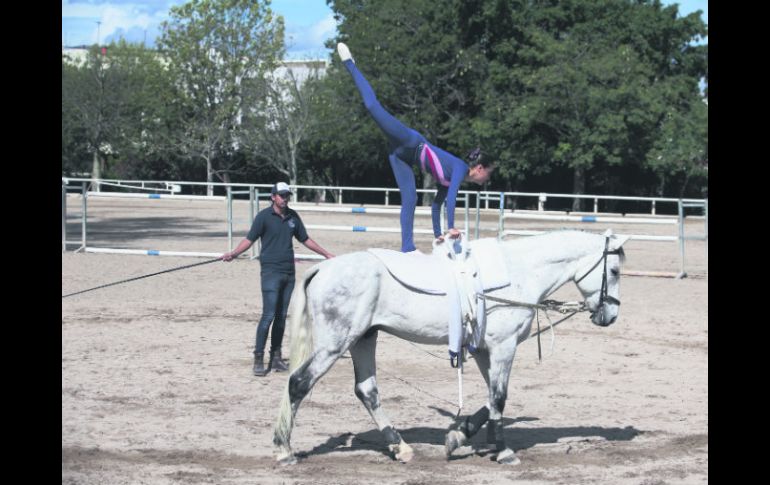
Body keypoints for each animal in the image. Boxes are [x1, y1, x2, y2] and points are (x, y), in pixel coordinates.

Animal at [272, 231, 628, 466]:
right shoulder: (503, 347)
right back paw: (284, 450)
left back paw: (400, 447)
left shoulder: (485, 349)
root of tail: (323, 267)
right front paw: (503, 451)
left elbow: (490, 398)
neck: (519, 272)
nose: (610, 315)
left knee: (367, 390)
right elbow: (499, 397)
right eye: (614, 271)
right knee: (299, 383)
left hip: (363, 338)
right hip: (336, 343)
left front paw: (459, 435)